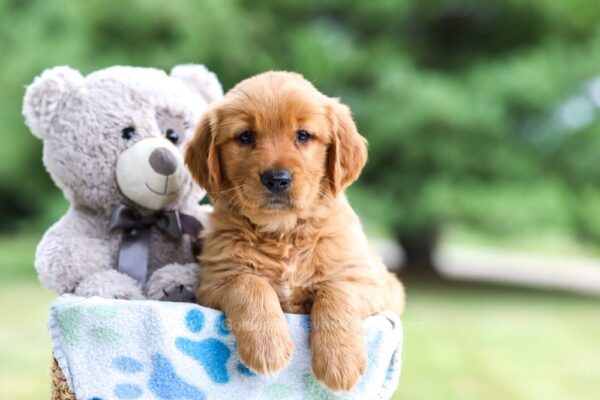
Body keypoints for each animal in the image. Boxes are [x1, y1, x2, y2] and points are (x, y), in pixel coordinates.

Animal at [186, 71, 404, 390]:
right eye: (245, 136)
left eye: (303, 135)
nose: (277, 179)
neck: (283, 233)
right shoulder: (214, 282)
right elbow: (249, 283)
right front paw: (268, 347)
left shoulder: (371, 283)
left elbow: (337, 290)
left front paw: (340, 362)